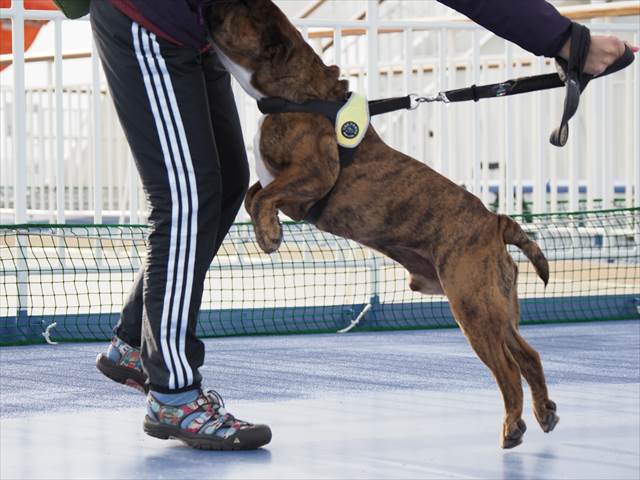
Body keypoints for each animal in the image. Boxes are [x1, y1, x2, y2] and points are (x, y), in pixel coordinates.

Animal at [208, 0, 559, 449]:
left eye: (237, 11)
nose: (208, 9)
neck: (299, 93)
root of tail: (494, 222)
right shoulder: (285, 184)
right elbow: (254, 196)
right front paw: (267, 231)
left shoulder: (314, 174)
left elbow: (265, 196)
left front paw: (268, 235)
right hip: (497, 307)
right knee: (527, 355)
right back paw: (543, 412)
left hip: (474, 307)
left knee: (507, 370)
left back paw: (513, 425)